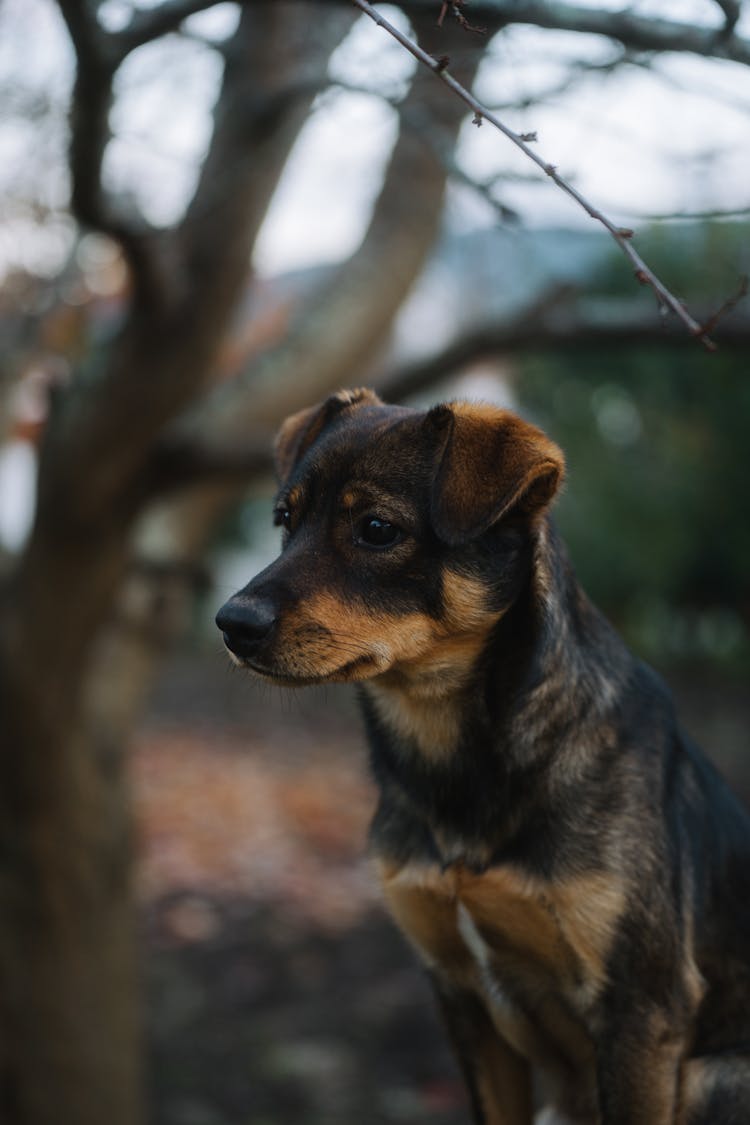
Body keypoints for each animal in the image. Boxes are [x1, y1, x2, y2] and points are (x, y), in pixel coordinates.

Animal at [215, 389, 750, 1125]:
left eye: (377, 528)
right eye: (285, 520)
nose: (230, 624)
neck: (459, 758)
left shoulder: (643, 1010)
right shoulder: (460, 995)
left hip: (712, 1078)